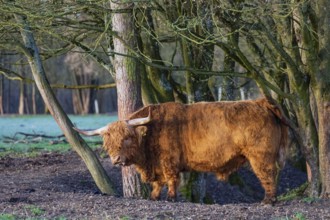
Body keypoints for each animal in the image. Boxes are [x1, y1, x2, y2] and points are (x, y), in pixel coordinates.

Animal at [73, 99, 288, 204]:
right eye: (107, 142)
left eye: (127, 138)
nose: (116, 159)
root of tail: (261, 103)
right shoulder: (157, 166)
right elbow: (158, 184)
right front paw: (154, 197)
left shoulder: (169, 161)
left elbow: (171, 179)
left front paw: (171, 198)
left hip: (260, 156)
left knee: (268, 175)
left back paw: (268, 201)